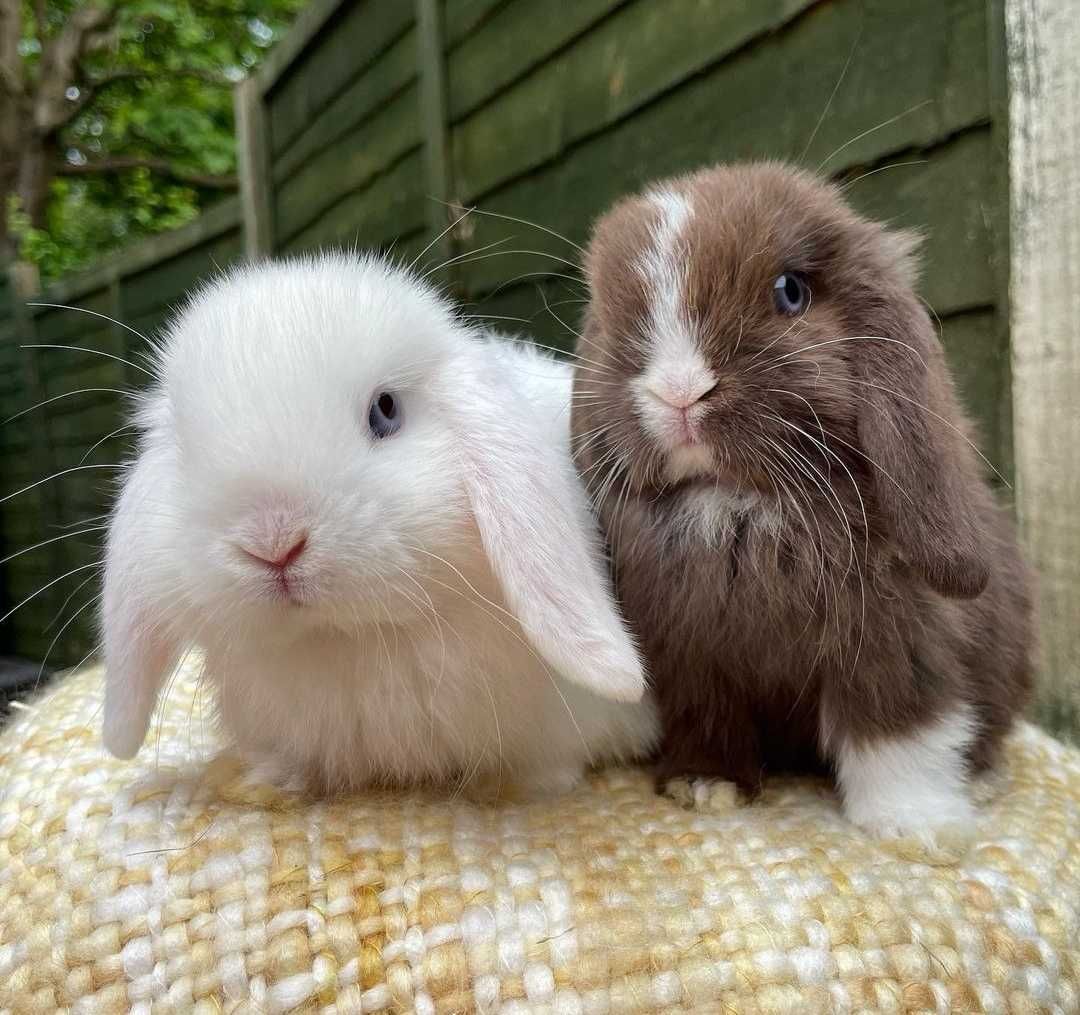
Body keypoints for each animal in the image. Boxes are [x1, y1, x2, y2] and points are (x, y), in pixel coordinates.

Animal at [101, 249, 656, 799]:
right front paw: (269, 780)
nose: (274, 544)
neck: (353, 640)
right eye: (184, 450)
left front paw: (515, 787)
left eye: (385, 411)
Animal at [570, 163, 1032, 837]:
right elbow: (708, 718)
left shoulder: (897, 643)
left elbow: (899, 731)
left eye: (790, 292)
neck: (739, 505)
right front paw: (704, 787)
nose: (678, 392)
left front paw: (915, 826)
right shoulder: (689, 659)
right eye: (611, 319)